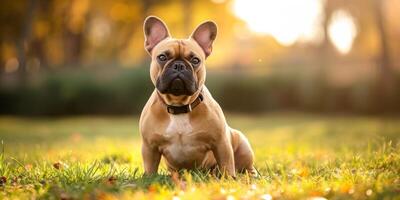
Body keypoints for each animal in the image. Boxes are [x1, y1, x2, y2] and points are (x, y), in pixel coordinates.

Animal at [139, 16, 255, 177]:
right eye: (162, 57)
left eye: (195, 60)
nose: (179, 65)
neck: (179, 106)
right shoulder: (149, 147)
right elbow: (150, 168)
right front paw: (149, 179)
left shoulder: (221, 143)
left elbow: (227, 164)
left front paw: (229, 179)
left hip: (242, 144)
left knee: (247, 167)